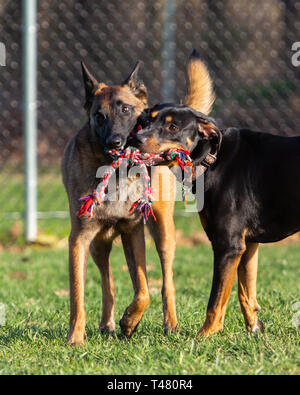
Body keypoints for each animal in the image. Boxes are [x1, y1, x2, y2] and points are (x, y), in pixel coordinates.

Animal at [62, 62, 179, 346]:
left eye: (126, 109)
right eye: (99, 116)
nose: (115, 142)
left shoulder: (133, 233)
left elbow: (144, 289)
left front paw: (131, 321)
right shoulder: (79, 239)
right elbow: (77, 293)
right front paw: (76, 337)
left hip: (163, 233)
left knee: (166, 280)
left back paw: (170, 323)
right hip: (97, 246)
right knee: (109, 282)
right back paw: (107, 324)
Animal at [136, 50, 300, 338]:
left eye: (172, 127)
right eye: (146, 120)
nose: (137, 138)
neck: (213, 158)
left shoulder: (228, 245)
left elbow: (216, 300)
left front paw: (204, 336)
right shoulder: (248, 245)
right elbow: (246, 293)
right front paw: (254, 330)